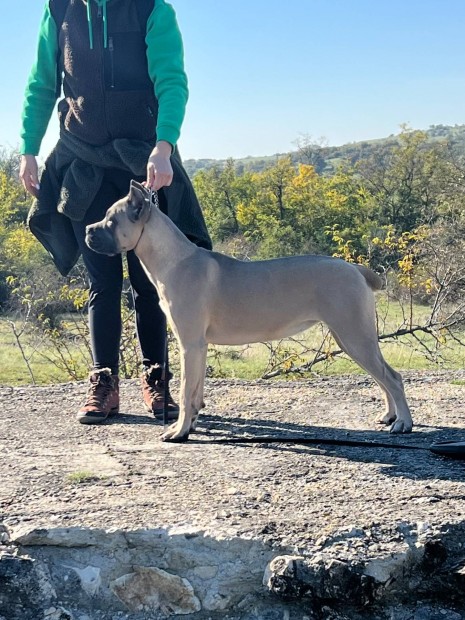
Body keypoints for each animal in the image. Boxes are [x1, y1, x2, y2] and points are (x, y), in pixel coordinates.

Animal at [85, 179, 412, 440]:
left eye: (111, 221)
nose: (87, 229)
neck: (174, 259)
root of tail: (354, 268)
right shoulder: (199, 347)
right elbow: (195, 391)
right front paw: (191, 422)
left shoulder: (189, 344)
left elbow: (185, 389)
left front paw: (178, 431)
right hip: (352, 338)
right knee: (383, 376)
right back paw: (390, 415)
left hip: (354, 335)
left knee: (392, 378)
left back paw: (403, 423)